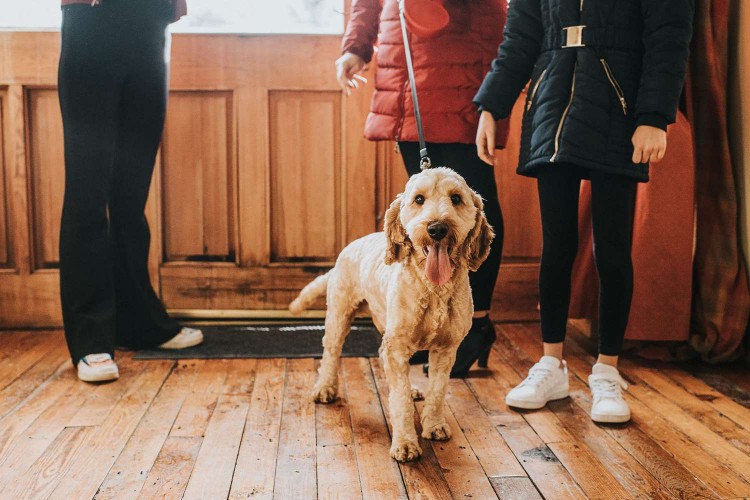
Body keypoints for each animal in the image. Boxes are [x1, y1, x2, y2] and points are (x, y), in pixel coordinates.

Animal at [290, 167, 496, 460]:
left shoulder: (445, 350)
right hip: (340, 314)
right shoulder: (397, 347)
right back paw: (325, 388)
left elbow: (438, 390)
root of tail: (350, 247)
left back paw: (412, 390)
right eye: (419, 199)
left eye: (456, 198)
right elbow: (399, 403)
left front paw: (434, 425)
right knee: (330, 352)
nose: (437, 228)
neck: (433, 289)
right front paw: (406, 443)